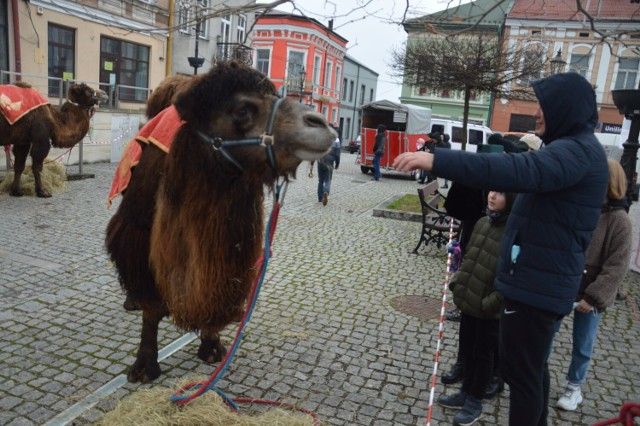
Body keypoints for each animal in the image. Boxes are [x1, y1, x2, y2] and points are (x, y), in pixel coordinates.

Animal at [106, 61, 336, 384]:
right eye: (242, 109)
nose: (321, 124)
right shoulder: (140, 234)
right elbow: (151, 310)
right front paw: (144, 366)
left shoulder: (227, 248)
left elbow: (214, 294)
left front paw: (212, 346)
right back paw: (131, 299)